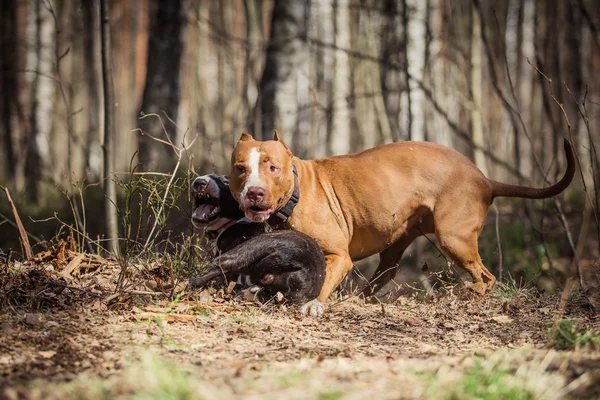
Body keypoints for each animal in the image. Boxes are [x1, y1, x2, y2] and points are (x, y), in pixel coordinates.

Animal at [227, 131, 576, 316]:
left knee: (485, 277)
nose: (255, 193)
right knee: (386, 271)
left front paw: (313, 304)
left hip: (454, 237)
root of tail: (484, 179)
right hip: (398, 243)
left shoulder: (338, 256)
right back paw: (363, 298)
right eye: (241, 169)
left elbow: (323, 281)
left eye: (272, 167)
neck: (296, 191)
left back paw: (466, 294)